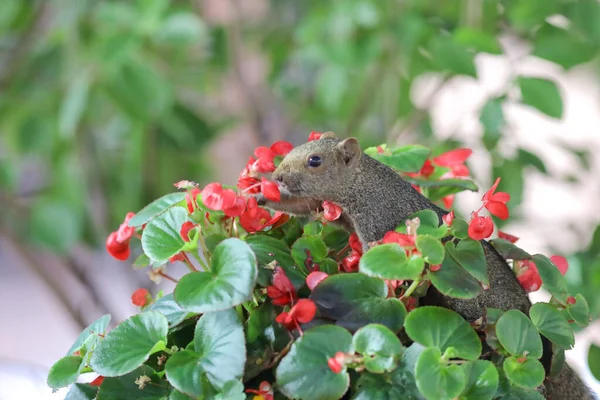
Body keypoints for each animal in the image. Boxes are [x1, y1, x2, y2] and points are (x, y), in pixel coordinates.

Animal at [258, 133, 596, 398]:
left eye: (314, 161)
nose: (278, 177)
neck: (360, 182)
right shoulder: (325, 206)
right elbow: (302, 207)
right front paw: (263, 198)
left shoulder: (377, 221)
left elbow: (375, 261)